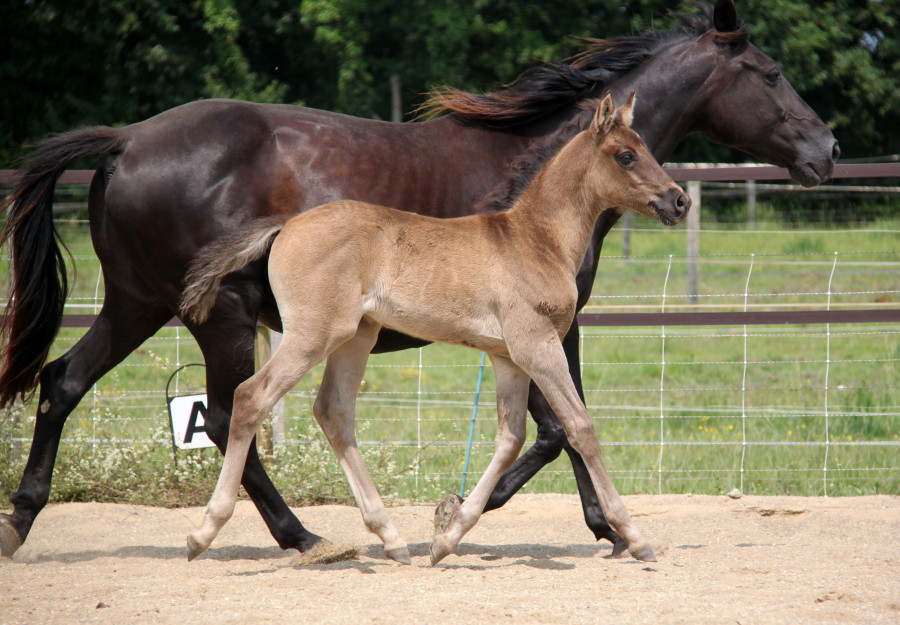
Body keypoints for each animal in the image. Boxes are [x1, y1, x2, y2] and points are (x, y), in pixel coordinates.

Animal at [180, 93, 689, 564]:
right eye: (626, 155)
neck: (536, 239)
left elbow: (510, 438)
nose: (679, 200)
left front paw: (447, 537)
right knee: (250, 399)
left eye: (645, 147)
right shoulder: (538, 346)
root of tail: (287, 225)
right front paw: (633, 536)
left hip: (356, 337)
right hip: (313, 335)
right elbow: (580, 427)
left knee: (333, 412)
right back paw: (205, 532)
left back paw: (391, 538)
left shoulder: (507, 357)